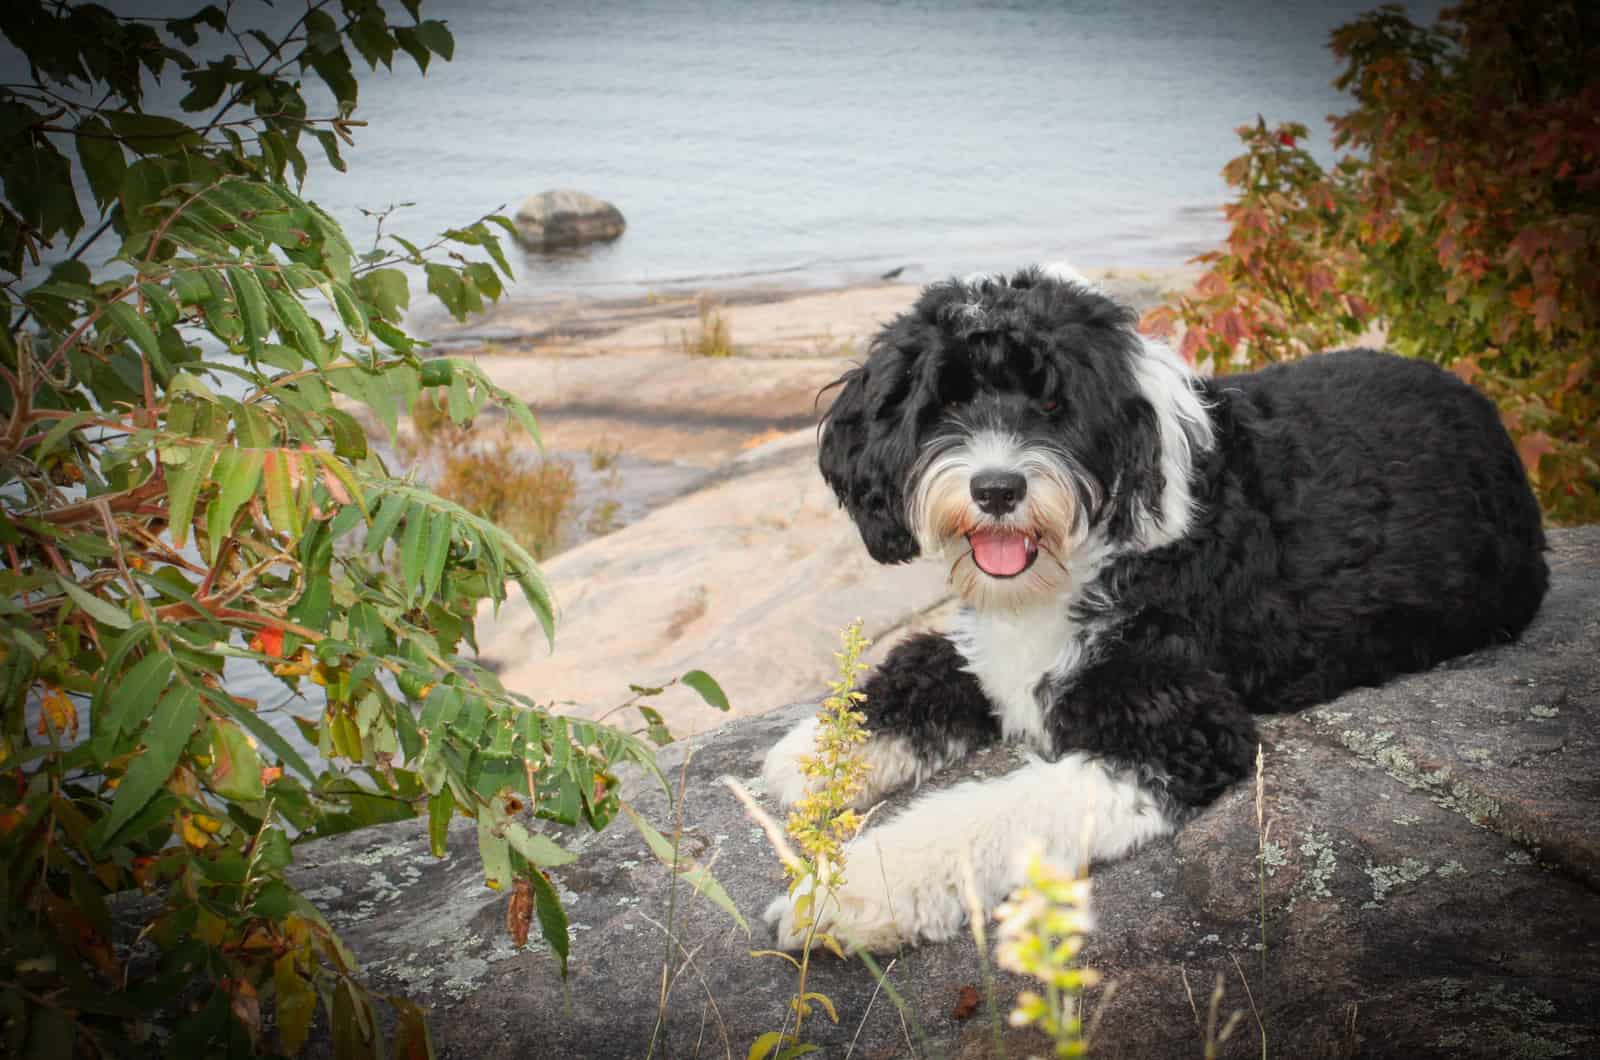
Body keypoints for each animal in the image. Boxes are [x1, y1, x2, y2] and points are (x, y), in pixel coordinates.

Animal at [761, 260, 1548, 947]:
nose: (997, 489)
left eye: (1054, 404)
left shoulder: (1177, 727)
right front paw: (818, 752)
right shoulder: (995, 652)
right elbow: (923, 665)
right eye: (945, 402)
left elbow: (997, 812)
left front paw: (855, 889)